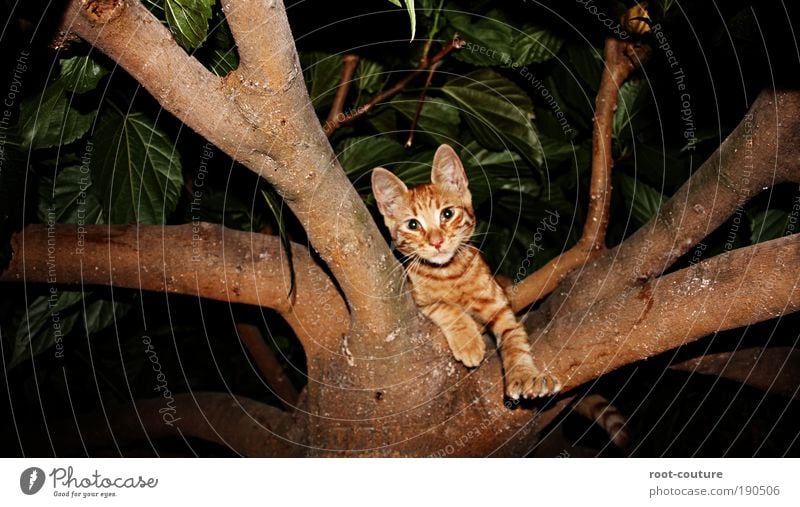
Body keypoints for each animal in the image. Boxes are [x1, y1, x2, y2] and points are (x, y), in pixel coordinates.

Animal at [372, 144, 560, 400]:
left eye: (447, 214)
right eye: (413, 225)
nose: (437, 241)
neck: (449, 272)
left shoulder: (499, 306)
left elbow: (514, 337)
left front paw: (524, 374)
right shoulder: (417, 300)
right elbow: (445, 306)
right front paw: (468, 340)